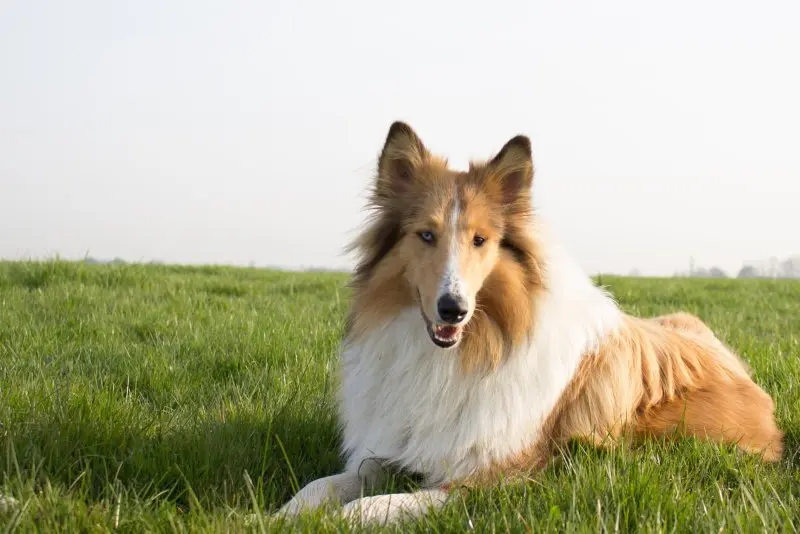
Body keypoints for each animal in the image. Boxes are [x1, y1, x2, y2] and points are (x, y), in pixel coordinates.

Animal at [274, 121, 780, 528]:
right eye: (426, 235)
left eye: (480, 240)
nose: (452, 309)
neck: (462, 353)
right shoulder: (392, 449)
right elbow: (323, 484)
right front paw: (282, 514)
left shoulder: (500, 477)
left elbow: (375, 505)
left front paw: (340, 519)